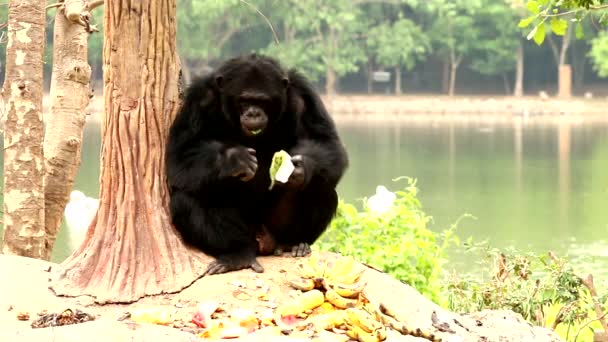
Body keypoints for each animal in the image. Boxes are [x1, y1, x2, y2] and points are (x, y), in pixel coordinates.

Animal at [165, 53, 346, 276]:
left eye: (263, 101)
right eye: (244, 101)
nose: (253, 113)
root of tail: (264, 242)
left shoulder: (302, 96)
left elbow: (327, 143)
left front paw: (299, 168)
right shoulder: (199, 99)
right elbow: (180, 153)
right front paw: (235, 160)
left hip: (276, 227)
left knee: (322, 188)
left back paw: (294, 243)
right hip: (246, 233)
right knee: (186, 199)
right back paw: (237, 254)